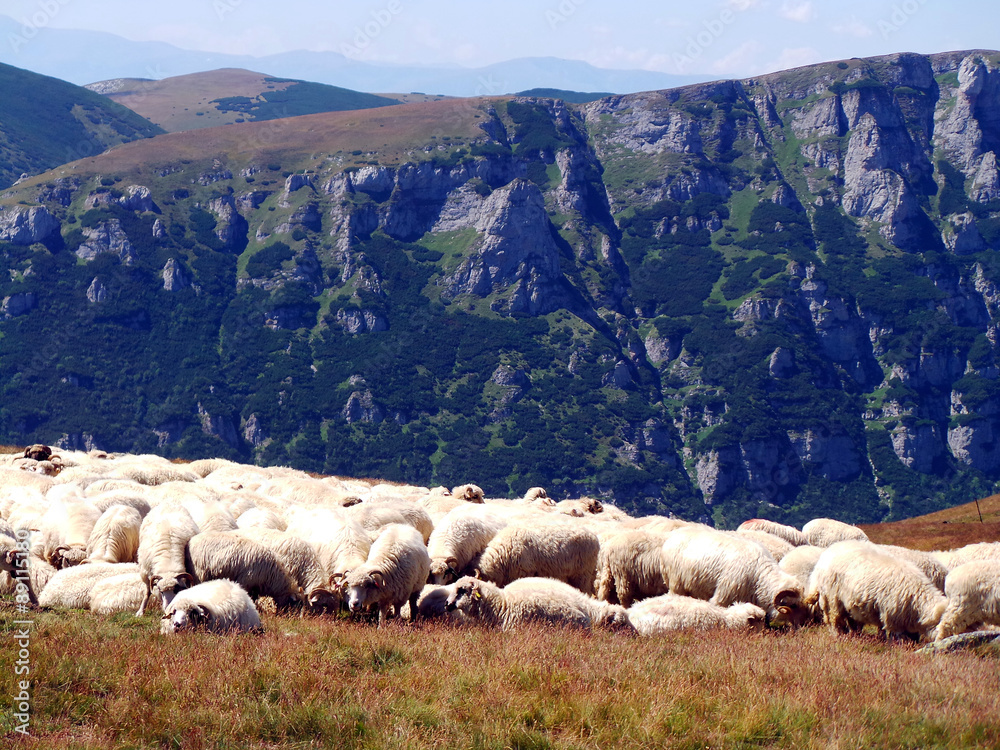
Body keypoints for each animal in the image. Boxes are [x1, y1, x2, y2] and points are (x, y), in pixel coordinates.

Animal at [660, 526, 807, 626]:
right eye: (793, 605)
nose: (800, 627)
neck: (759, 577)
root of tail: (670, 539)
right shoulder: (723, 595)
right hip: (676, 583)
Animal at [805, 541, 946, 641]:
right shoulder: (892, 615)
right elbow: (896, 634)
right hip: (832, 598)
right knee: (834, 620)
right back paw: (840, 636)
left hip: (849, 603)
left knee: (852, 621)